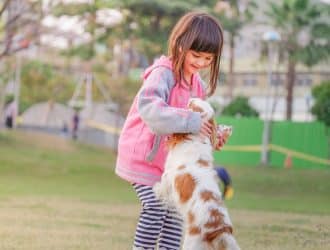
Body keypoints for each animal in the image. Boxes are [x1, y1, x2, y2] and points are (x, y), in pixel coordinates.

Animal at [153, 97, 238, 250]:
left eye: (192, 105)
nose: (192, 98)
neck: (195, 138)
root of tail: (219, 230)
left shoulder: (169, 176)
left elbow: (163, 186)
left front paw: (156, 189)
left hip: (191, 243)